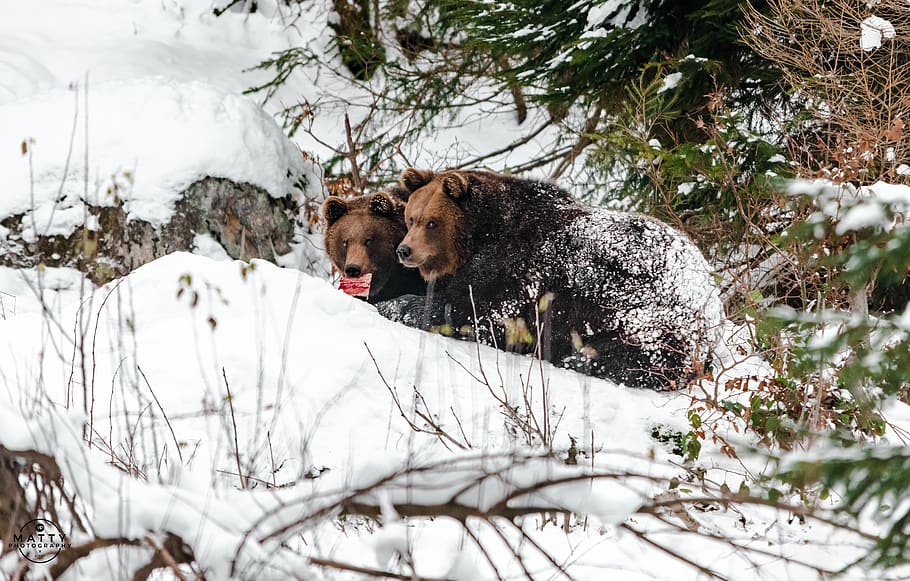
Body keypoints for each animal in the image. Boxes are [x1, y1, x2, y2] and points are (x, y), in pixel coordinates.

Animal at [393, 168, 725, 390]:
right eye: (412, 218)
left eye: (432, 223)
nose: (404, 250)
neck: (483, 232)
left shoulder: (517, 268)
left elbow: (470, 310)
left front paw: (399, 305)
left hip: (646, 315)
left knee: (635, 356)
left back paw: (575, 359)